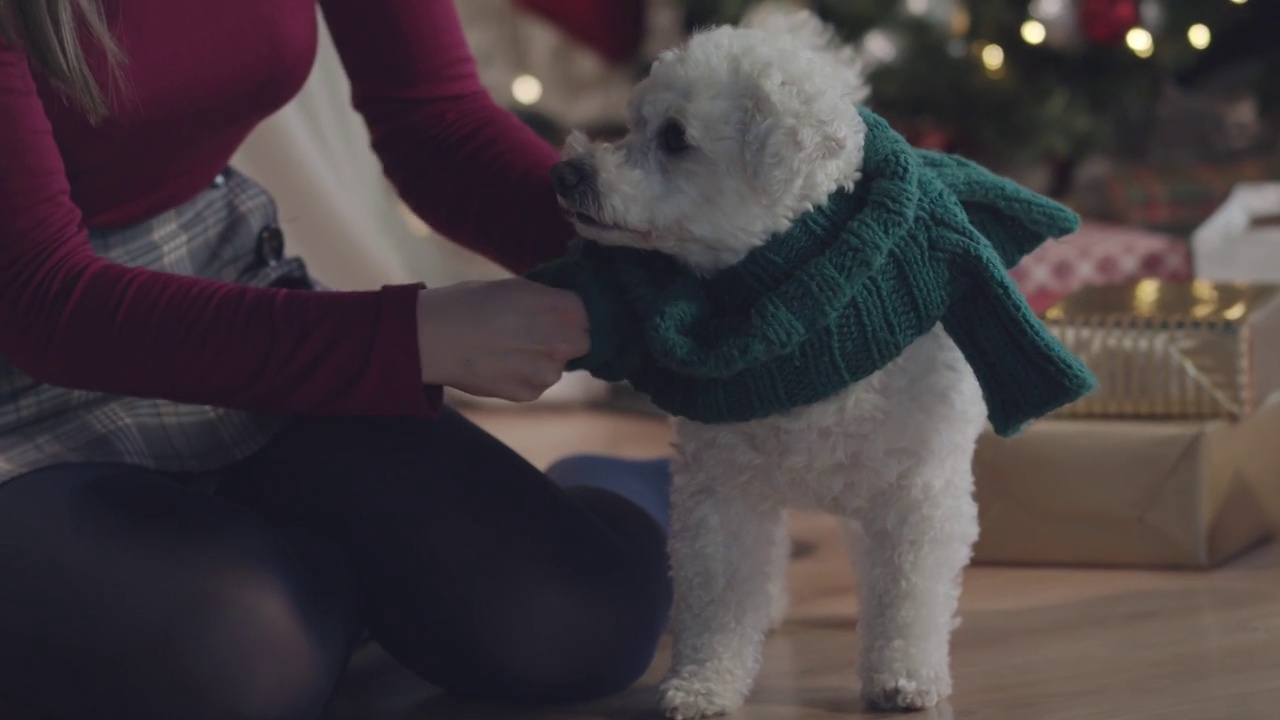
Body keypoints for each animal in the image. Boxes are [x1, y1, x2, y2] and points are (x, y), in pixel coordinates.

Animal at [547, 8, 977, 712]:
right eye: (633, 122)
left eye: (674, 137)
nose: (567, 174)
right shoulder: (722, 494)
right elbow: (720, 602)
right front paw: (704, 682)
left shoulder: (919, 493)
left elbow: (910, 594)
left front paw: (904, 675)